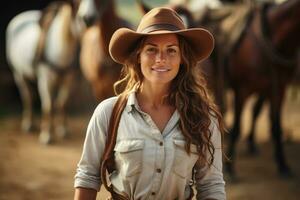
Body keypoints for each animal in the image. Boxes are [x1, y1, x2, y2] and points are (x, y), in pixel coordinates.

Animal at [6, 1, 80, 144]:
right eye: (74, 4)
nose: (88, 18)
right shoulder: (46, 79)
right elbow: (48, 106)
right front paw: (46, 135)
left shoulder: (69, 78)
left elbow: (63, 102)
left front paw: (63, 130)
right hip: (18, 74)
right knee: (27, 96)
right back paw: (28, 124)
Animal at [225, 0, 300, 178]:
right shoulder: (241, 89)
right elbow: (237, 126)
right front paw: (229, 167)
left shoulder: (279, 89)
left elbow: (276, 126)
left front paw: (283, 164)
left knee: (256, 111)